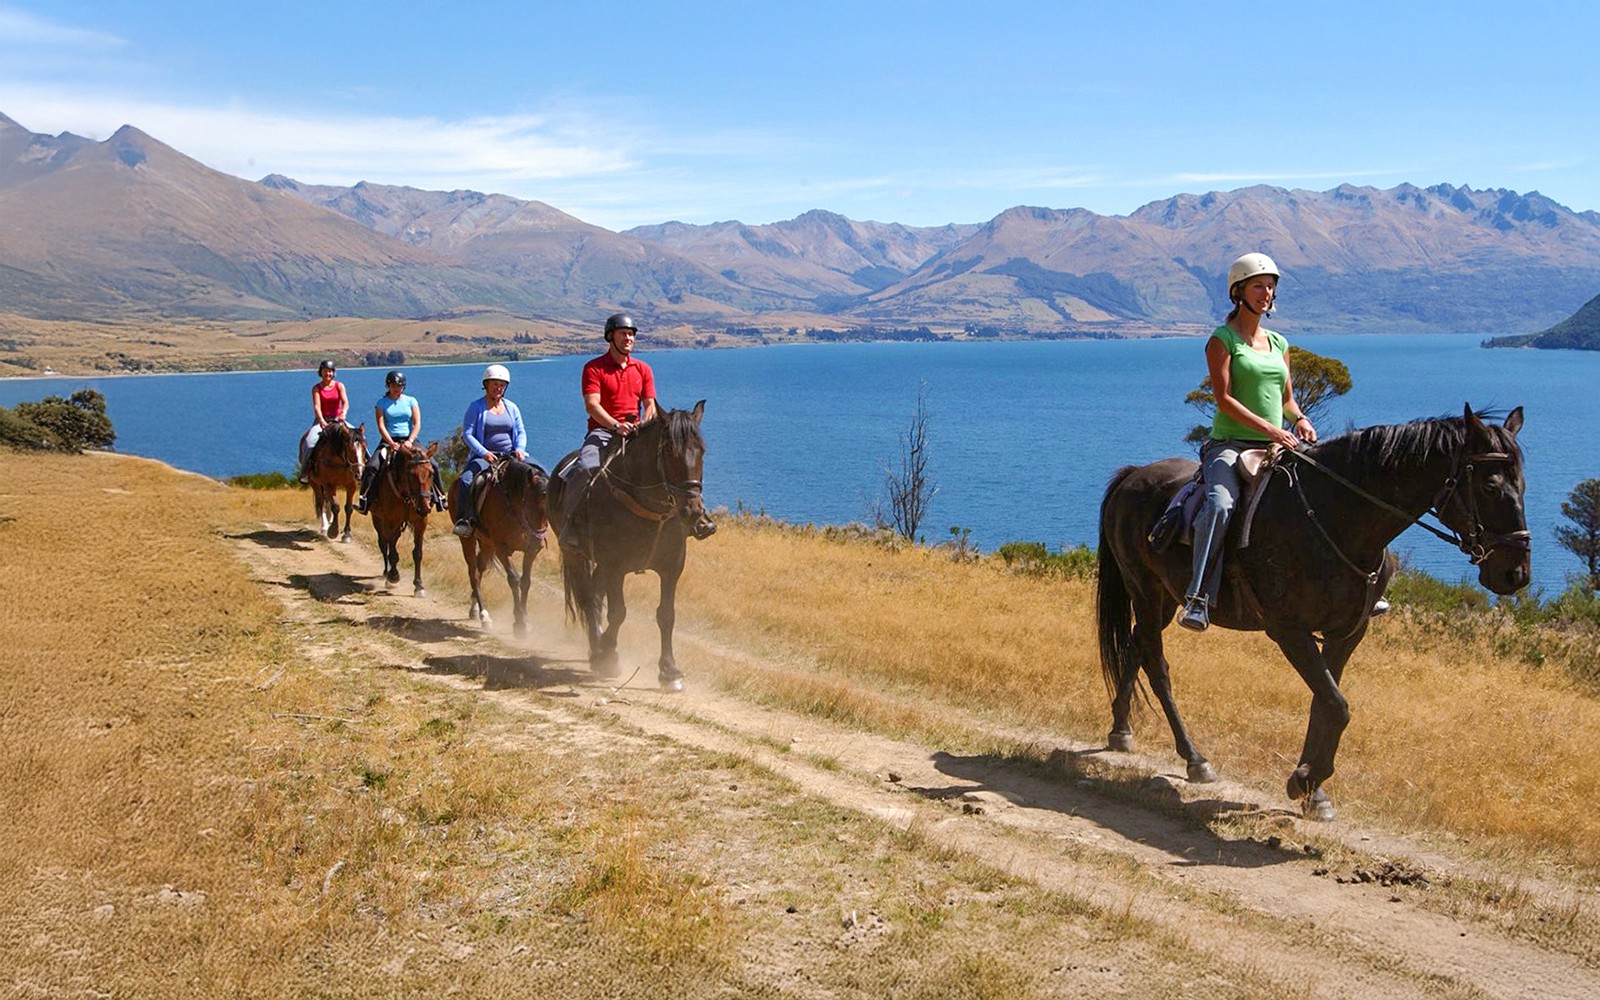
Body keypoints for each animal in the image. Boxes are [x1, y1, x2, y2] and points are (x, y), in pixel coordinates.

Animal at [368, 441, 439, 597]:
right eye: (411, 474)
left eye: (431, 473)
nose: (424, 507)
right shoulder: (389, 521)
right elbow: (393, 552)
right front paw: (393, 576)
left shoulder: (420, 523)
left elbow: (417, 553)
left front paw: (419, 585)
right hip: (378, 519)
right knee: (384, 544)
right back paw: (387, 573)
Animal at [447, 459, 549, 635]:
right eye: (530, 503)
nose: (538, 538)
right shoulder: (502, 548)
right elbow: (514, 579)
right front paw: (519, 623)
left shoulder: (531, 552)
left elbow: (526, 582)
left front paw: (526, 619)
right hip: (468, 540)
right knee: (474, 574)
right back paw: (484, 616)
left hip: (487, 545)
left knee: (480, 570)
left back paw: (475, 609)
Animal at [547, 402, 717, 692]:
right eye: (669, 450)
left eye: (702, 451)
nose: (694, 511)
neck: (649, 508)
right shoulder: (615, 566)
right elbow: (618, 613)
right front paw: (608, 653)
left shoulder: (672, 568)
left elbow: (666, 615)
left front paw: (669, 671)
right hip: (575, 555)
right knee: (588, 599)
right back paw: (598, 650)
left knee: (594, 596)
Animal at [1097, 405, 1529, 821]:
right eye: (1490, 486)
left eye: (1523, 485)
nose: (1516, 573)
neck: (1336, 519)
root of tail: (1134, 476)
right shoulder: (1290, 632)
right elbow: (1337, 706)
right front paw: (1305, 781)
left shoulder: (1347, 633)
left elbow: (1325, 702)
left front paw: (1313, 789)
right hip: (1146, 592)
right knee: (1158, 668)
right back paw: (1194, 757)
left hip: (1165, 599)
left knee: (1135, 646)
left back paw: (1120, 729)